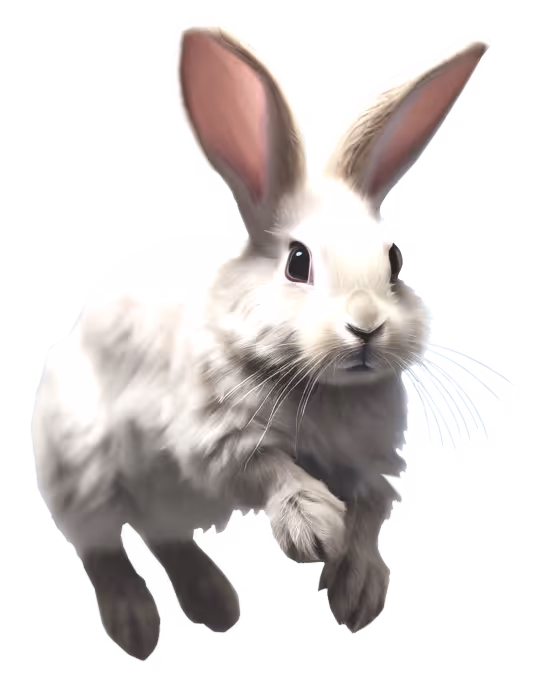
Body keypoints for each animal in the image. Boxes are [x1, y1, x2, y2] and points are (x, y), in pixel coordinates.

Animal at [29, 25, 489, 662]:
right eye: (297, 262)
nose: (367, 326)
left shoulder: (372, 462)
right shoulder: (215, 439)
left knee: (161, 532)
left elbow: (370, 509)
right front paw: (315, 529)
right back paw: (136, 625)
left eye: (394, 261)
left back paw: (213, 603)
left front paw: (359, 591)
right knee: (101, 545)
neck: (318, 384)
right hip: (84, 465)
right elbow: (271, 466)